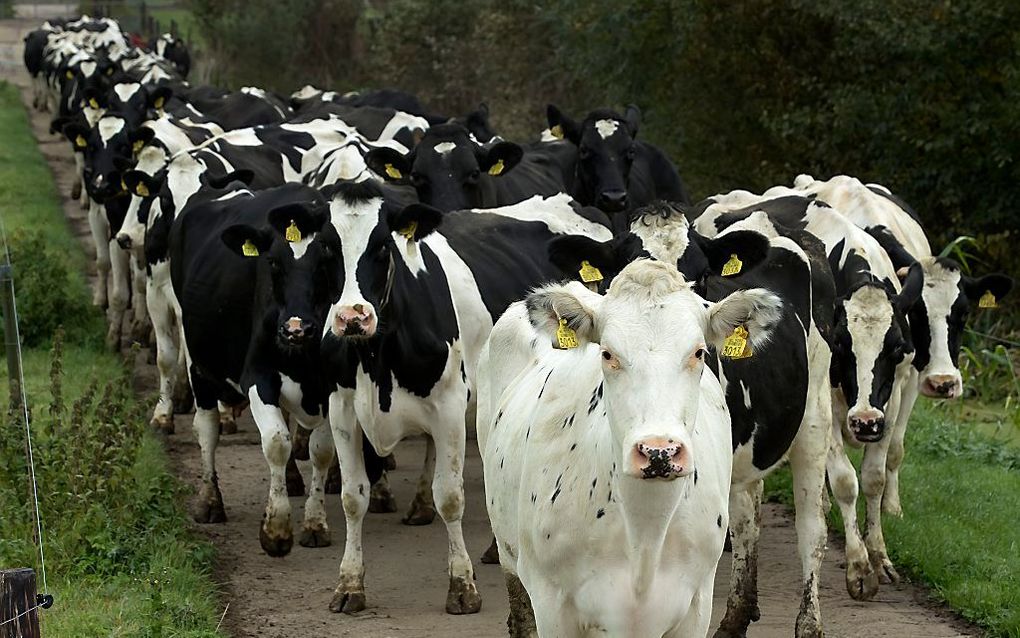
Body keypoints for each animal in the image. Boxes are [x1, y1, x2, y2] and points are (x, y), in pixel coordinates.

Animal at [314, 177, 607, 612]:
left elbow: (450, 496)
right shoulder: (342, 408)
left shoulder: (449, 406)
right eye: (327, 246)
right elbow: (353, 497)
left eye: (382, 245)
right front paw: (349, 585)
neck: (376, 356)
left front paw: (461, 585)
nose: (352, 317)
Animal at [477, 256, 779, 632]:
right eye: (607, 354)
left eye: (698, 352)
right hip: (511, 560)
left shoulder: (697, 604)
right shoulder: (552, 605)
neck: (644, 538)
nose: (658, 451)